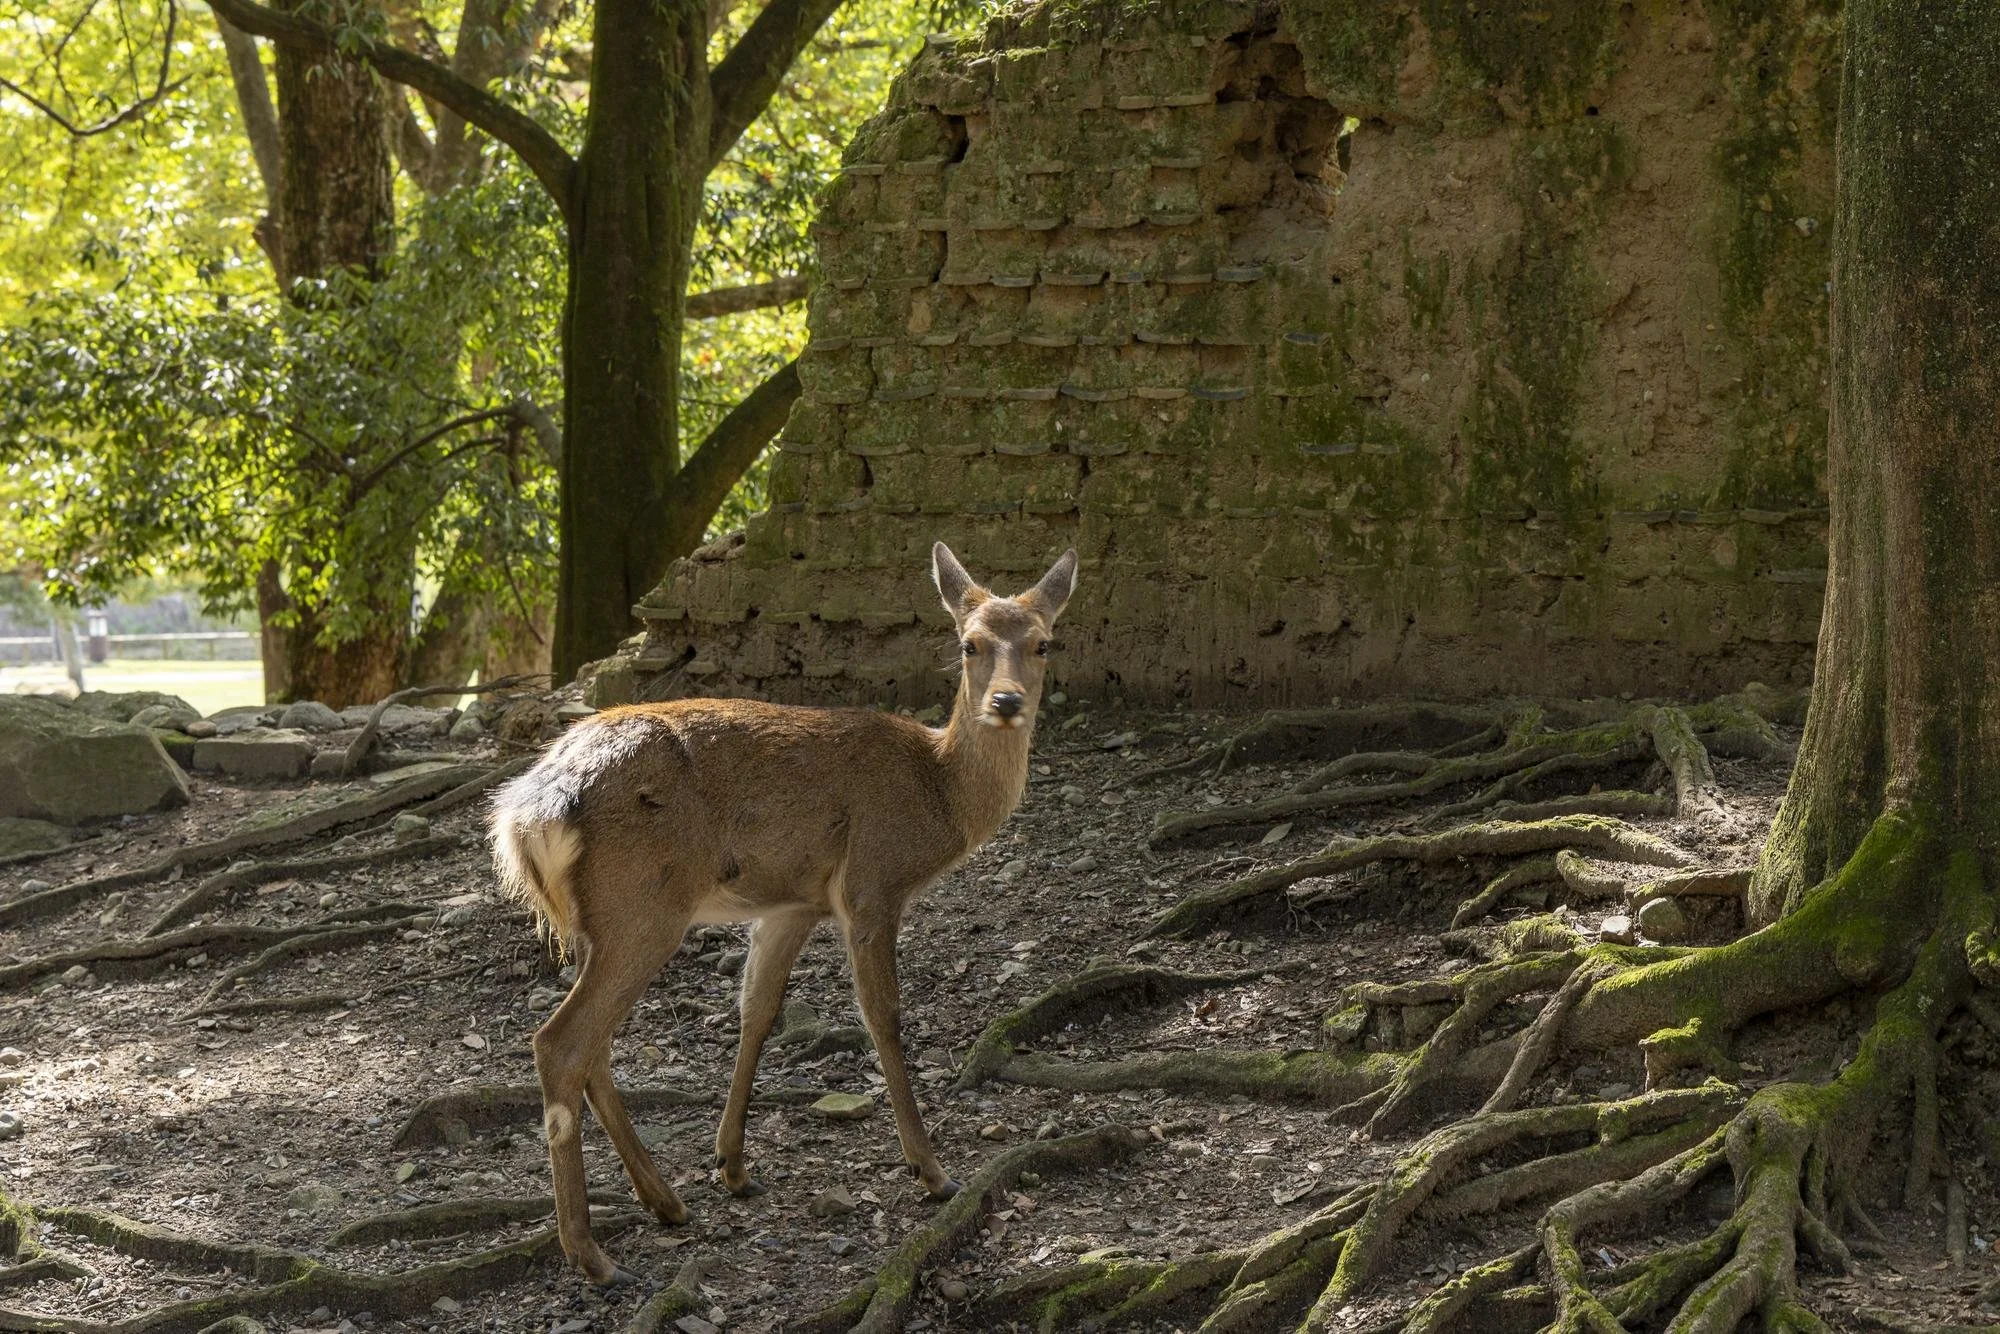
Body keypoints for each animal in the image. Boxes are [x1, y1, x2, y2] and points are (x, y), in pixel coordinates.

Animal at [488, 542, 1079, 1282]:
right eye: (968, 644)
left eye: (1044, 642)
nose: (1005, 702)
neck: (938, 794)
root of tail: (524, 813)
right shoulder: (870, 885)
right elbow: (883, 1015)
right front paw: (932, 1170)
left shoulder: (791, 905)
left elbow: (758, 1011)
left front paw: (733, 1165)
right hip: (642, 907)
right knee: (561, 1043)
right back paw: (592, 1256)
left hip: (593, 924)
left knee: (593, 1046)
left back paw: (665, 1200)